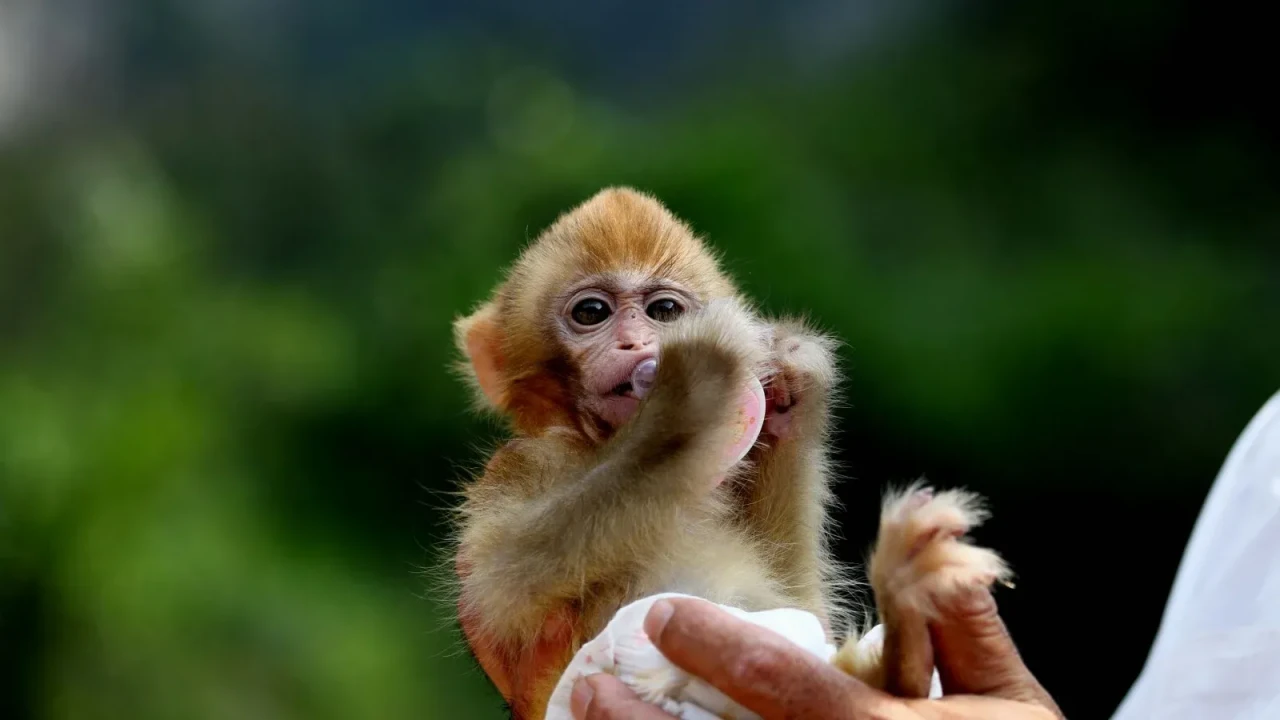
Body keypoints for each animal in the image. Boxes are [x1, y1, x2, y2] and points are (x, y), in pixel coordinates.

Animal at [448, 187, 1011, 718]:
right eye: (592, 313)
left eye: (664, 310)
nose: (637, 343)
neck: (599, 443)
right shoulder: (519, 468)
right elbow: (505, 578)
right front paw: (690, 391)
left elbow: (807, 610)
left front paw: (791, 387)